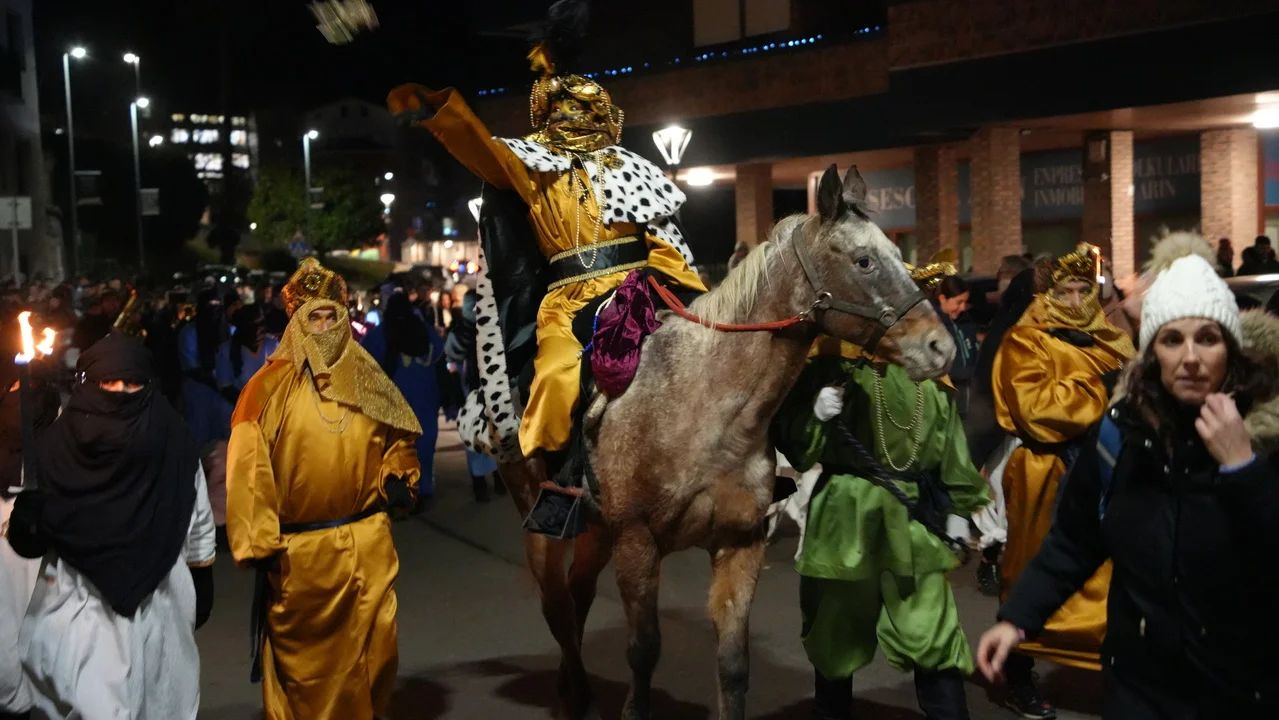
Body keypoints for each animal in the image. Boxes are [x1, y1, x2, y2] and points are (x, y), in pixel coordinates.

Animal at [498, 164, 957, 720]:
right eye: (864, 260)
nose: (940, 347)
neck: (705, 408)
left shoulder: (740, 543)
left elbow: (734, 665)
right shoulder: (636, 541)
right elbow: (643, 651)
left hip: (596, 530)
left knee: (577, 595)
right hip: (545, 524)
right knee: (559, 607)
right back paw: (572, 693)